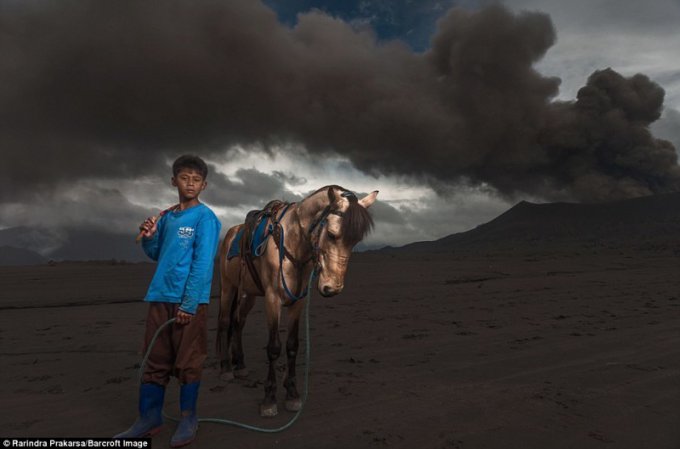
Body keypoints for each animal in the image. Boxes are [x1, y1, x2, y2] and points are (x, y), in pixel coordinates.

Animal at [216, 184, 378, 414]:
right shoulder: (273, 300)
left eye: (355, 241)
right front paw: (269, 398)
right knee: (224, 322)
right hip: (228, 287)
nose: (333, 288)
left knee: (238, 323)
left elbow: (292, 345)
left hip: (248, 293)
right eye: (331, 234)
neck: (293, 245)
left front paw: (292, 394)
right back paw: (226, 368)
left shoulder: (298, 302)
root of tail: (231, 234)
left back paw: (240, 365)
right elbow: (274, 347)